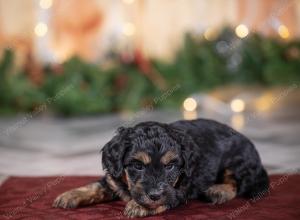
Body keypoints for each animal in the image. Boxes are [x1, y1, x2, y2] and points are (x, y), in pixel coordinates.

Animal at [52, 118, 268, 217]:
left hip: (237, 161)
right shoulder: (114, 178)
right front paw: (69, 195)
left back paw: (218, 191)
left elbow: (164, 200)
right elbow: (95, 186)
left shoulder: (178, 190)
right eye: (137, 165)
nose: (154, 194)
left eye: (171, 165)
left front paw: (139, 206)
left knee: (236, 183)